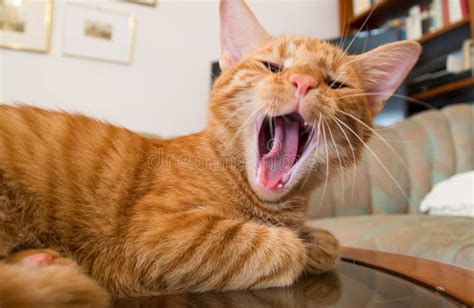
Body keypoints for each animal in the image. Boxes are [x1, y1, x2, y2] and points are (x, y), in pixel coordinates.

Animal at [0, 0, 420, 304]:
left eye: (336, 84)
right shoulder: (159, 233)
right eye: (272, 67)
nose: (303, 81)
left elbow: (331, 243)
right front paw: (302, 245)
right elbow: (279, 247)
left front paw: (316, 241)